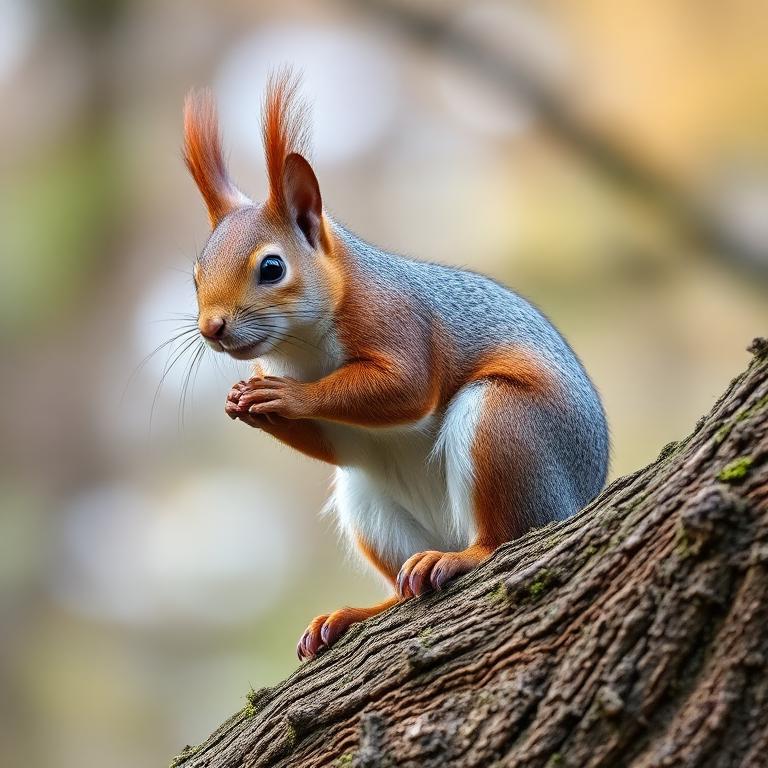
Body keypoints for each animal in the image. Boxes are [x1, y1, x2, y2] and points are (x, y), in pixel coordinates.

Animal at [182, 72, 609, 661]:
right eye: (196, 274)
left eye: (271, 267)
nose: (211, 328)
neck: (302, 348)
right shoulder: (343, 434)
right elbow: (335, 442)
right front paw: (248, 402)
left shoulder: (395, 318)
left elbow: (408, 386)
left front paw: (284, 397)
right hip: (366, 499)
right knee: (401, 589)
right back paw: (356, 614)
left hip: (507, 427)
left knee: (504, 537)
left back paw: (462, 558)